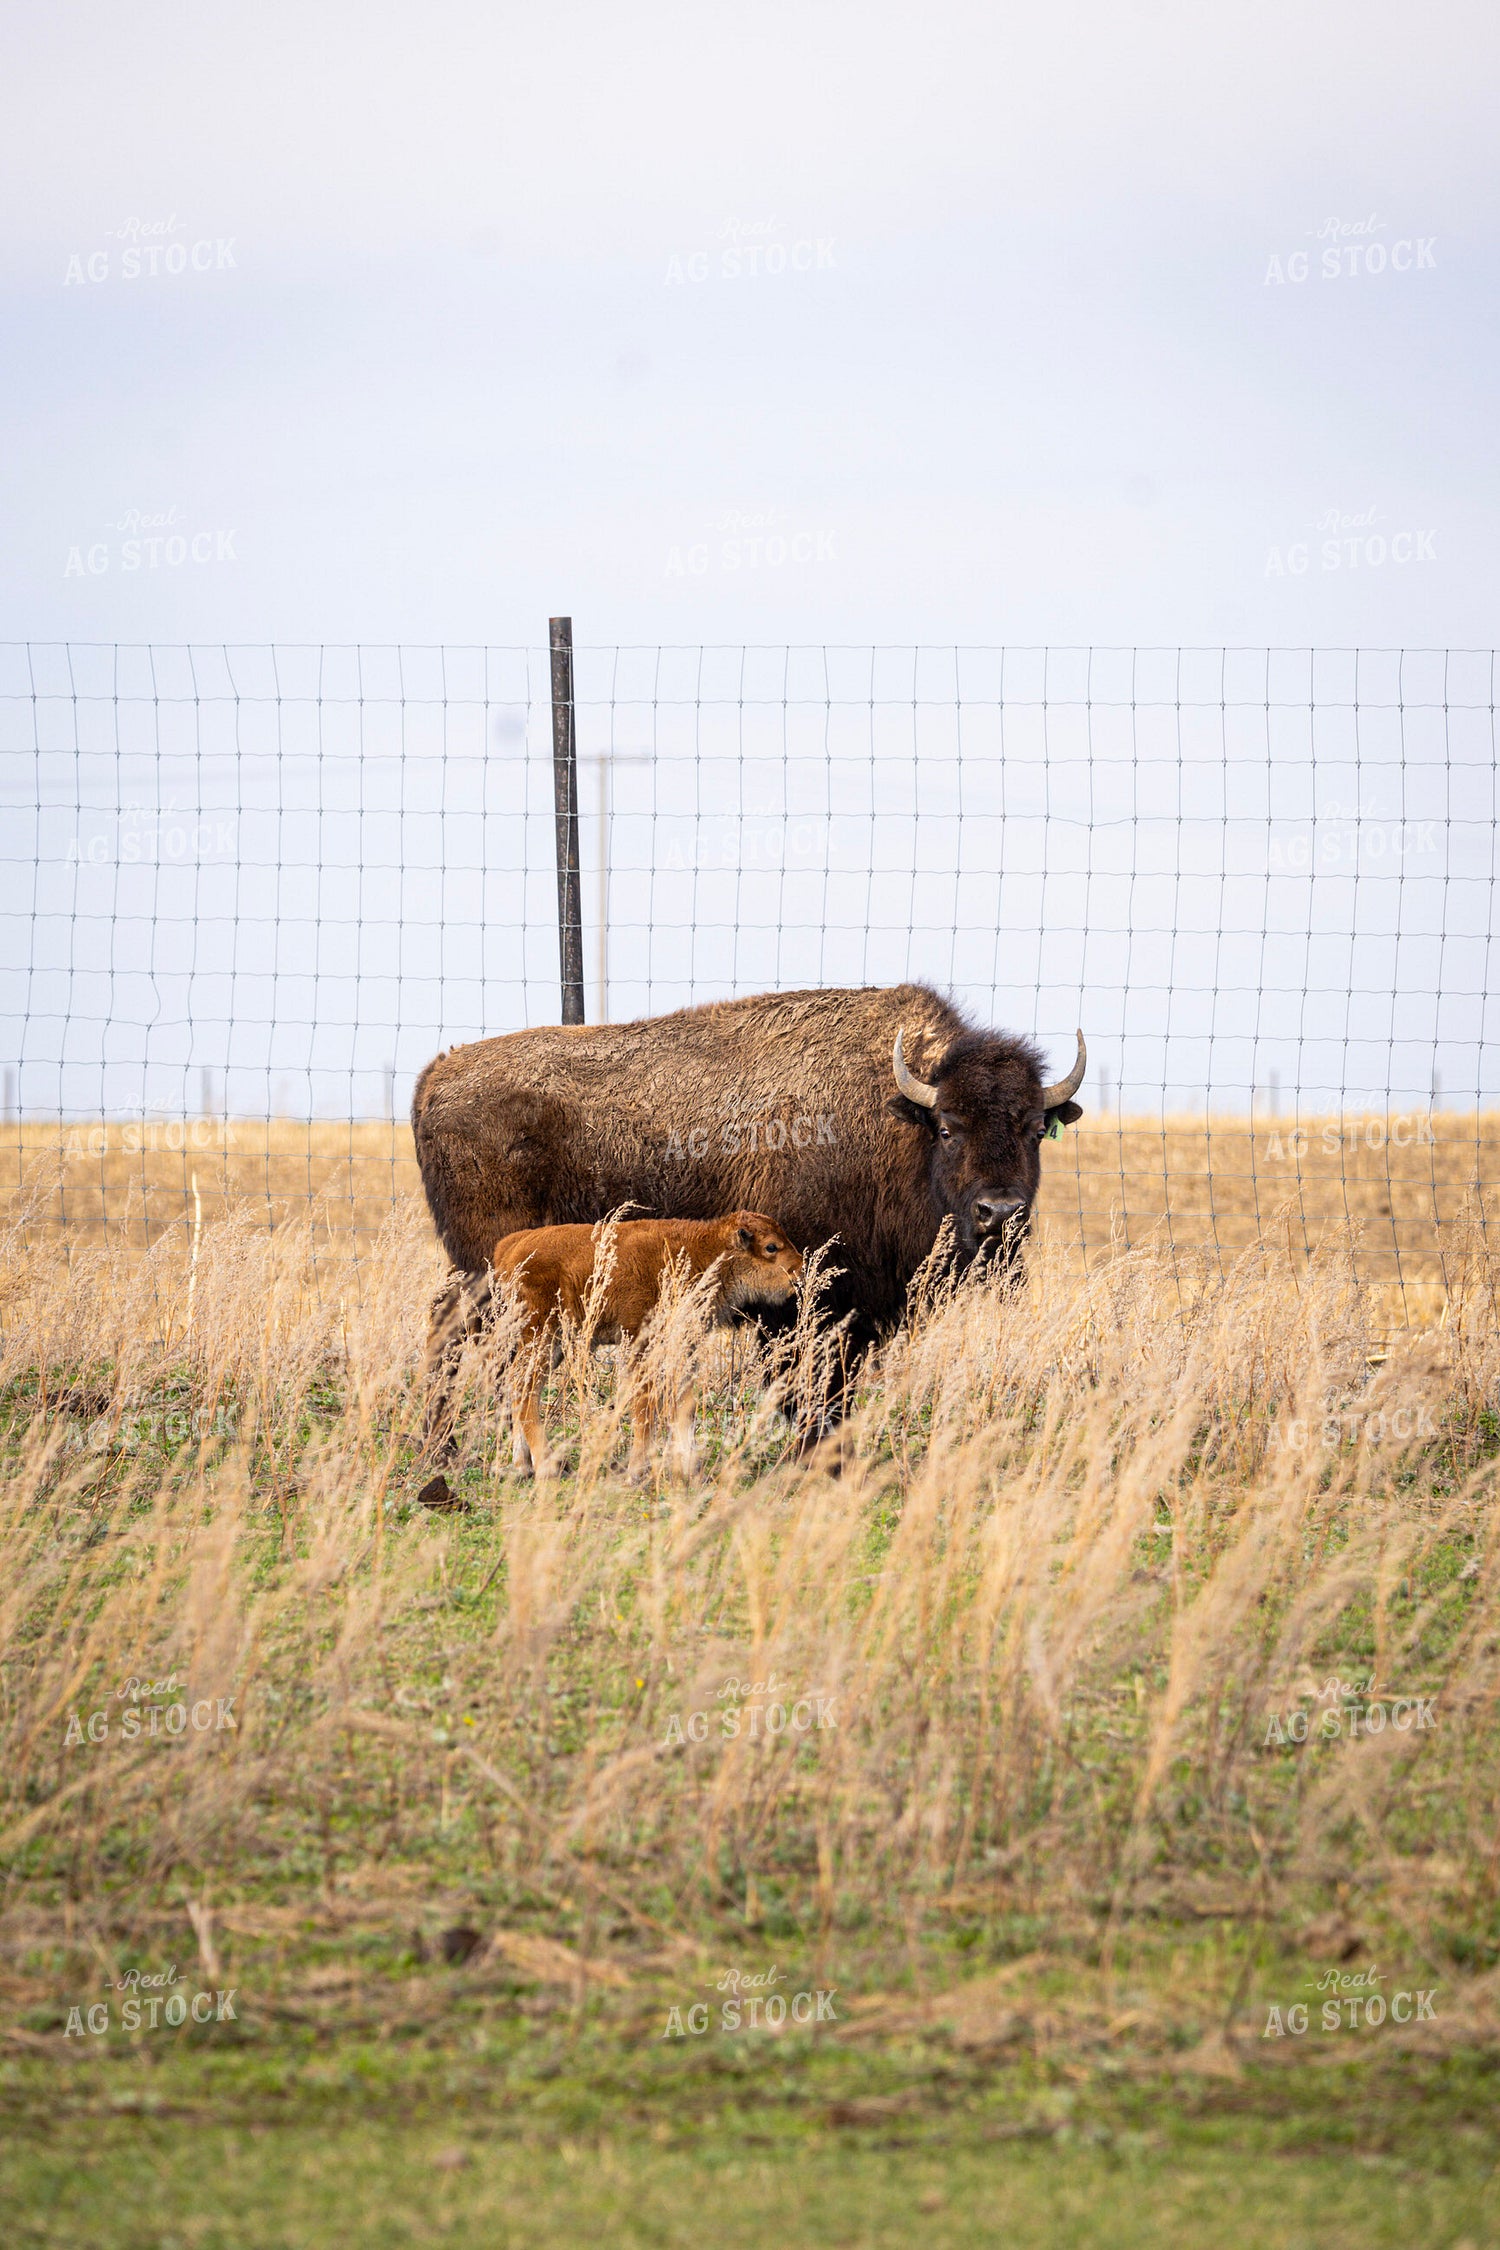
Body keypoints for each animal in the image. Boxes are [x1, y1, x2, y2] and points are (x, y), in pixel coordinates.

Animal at [412, 983, 1085, 1441]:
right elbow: (807, 1387)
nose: (1000, 1212)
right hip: (489, 1270)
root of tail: (437, 1074)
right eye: (947, 1128)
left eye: (1034, 1130)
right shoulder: (802, 1304)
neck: (894, 1121)